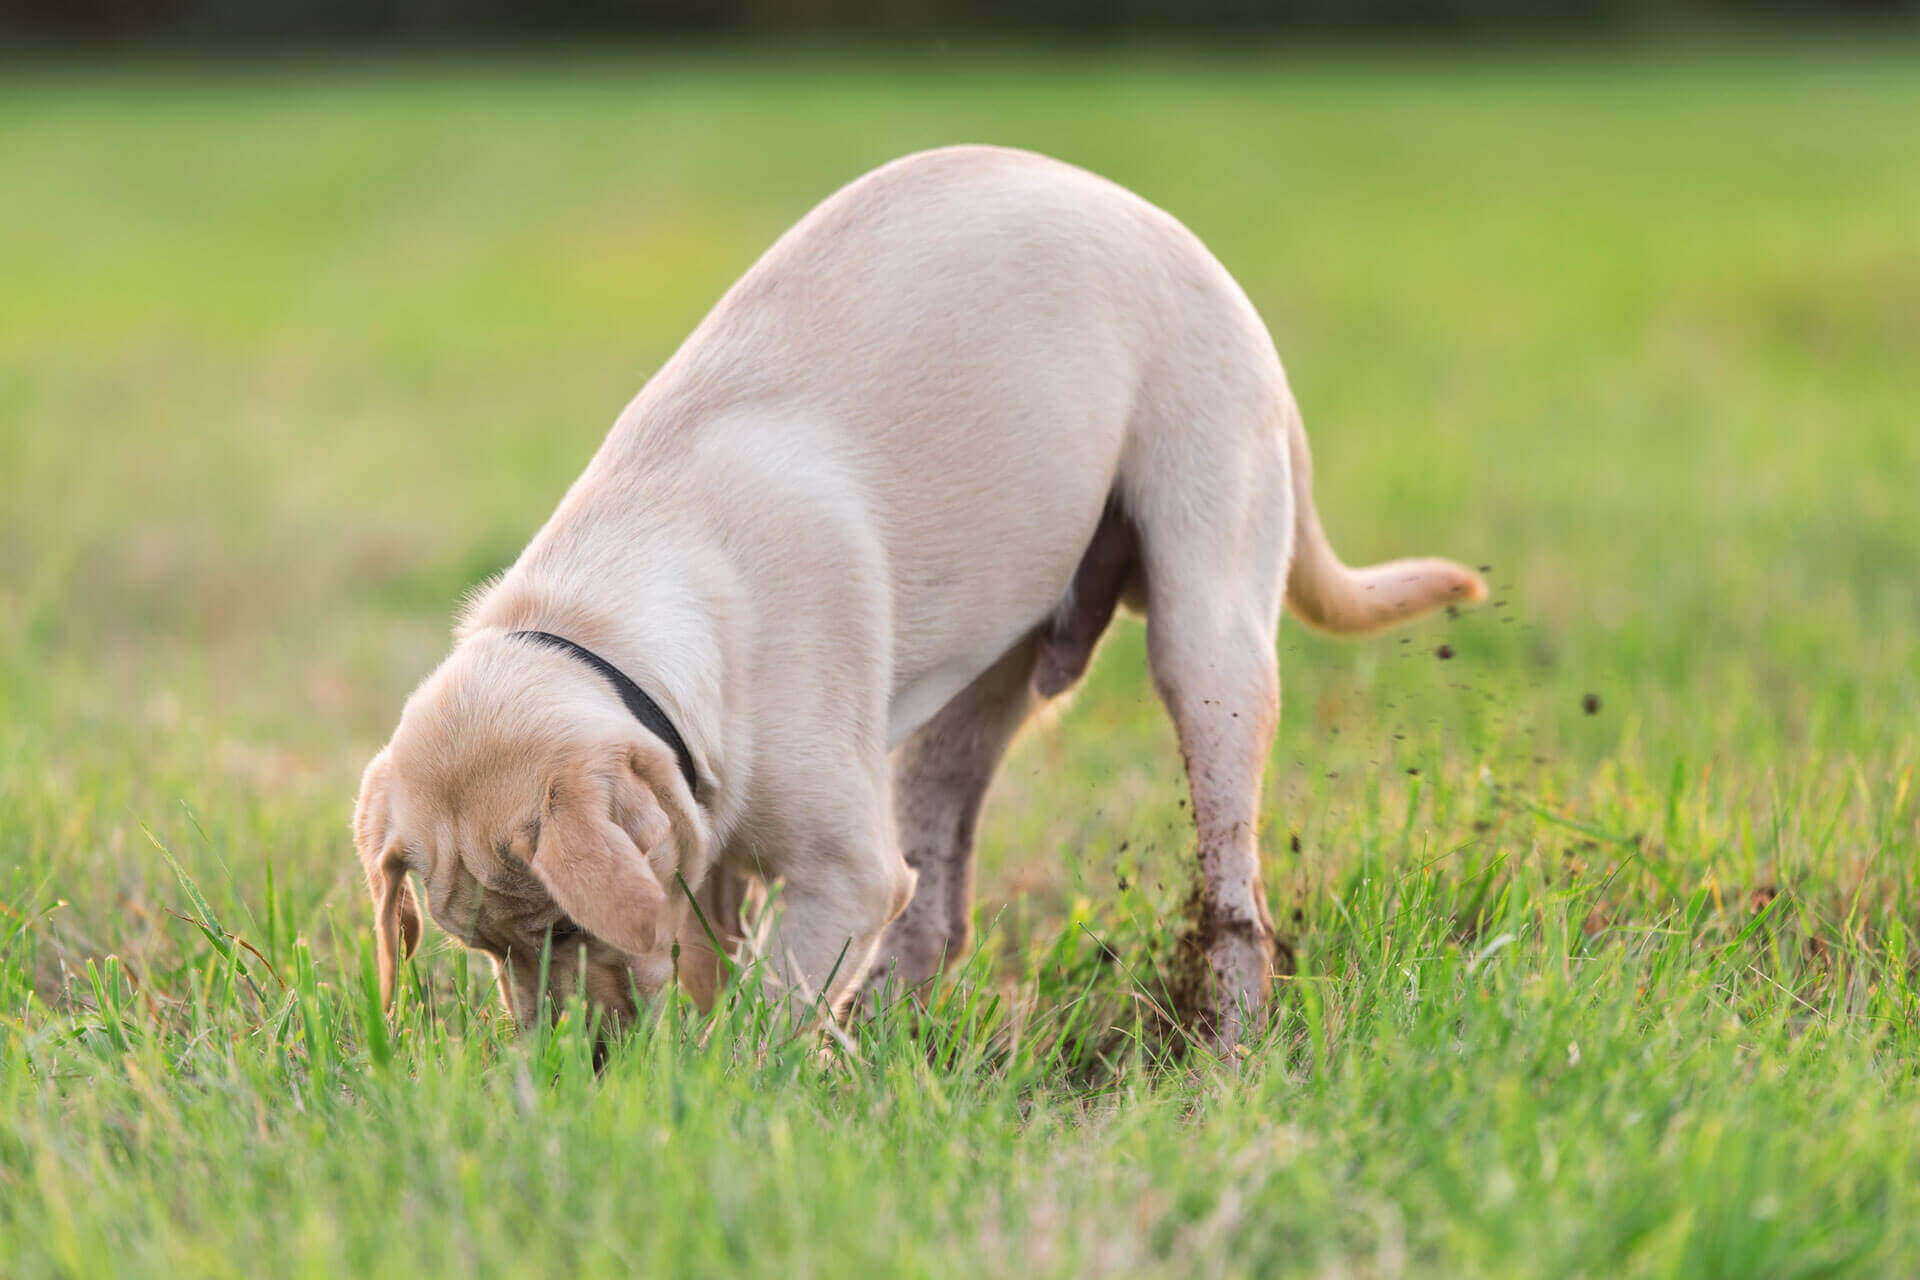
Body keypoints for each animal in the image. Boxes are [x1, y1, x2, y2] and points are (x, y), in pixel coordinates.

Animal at [353, 144, 1474, 1043]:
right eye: (491, 955)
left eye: (562, 926)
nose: (573, 1065)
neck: (614, 617)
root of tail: (1166, 226)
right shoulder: (706, 845)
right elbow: (720, 955)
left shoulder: (845, 870)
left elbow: (764, 1009)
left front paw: (726, 1084)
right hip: (976, 689)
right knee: (941, 895)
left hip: (1209, 630)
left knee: (1235, 889)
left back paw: (1226, 1045)